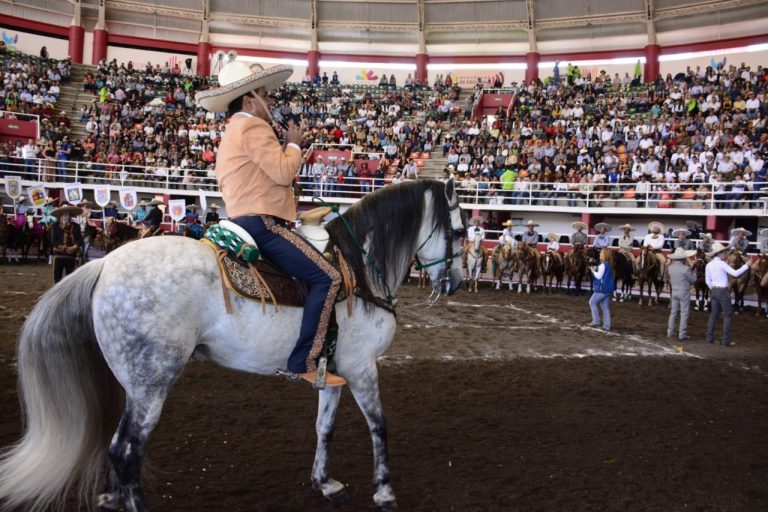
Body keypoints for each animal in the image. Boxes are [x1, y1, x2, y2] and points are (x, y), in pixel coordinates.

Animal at [0, 179, 462, 512]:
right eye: (457, 230)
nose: (454, 283)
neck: (360, 271)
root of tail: (104, 263)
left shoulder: (334, 372)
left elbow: (324, 427)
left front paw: (325, 483)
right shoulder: (363, 368)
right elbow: (380, 425)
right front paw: (384, 491)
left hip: (133, 385)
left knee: (115, 447)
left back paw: (110, 499)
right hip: (152, 384)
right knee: (127, 452)